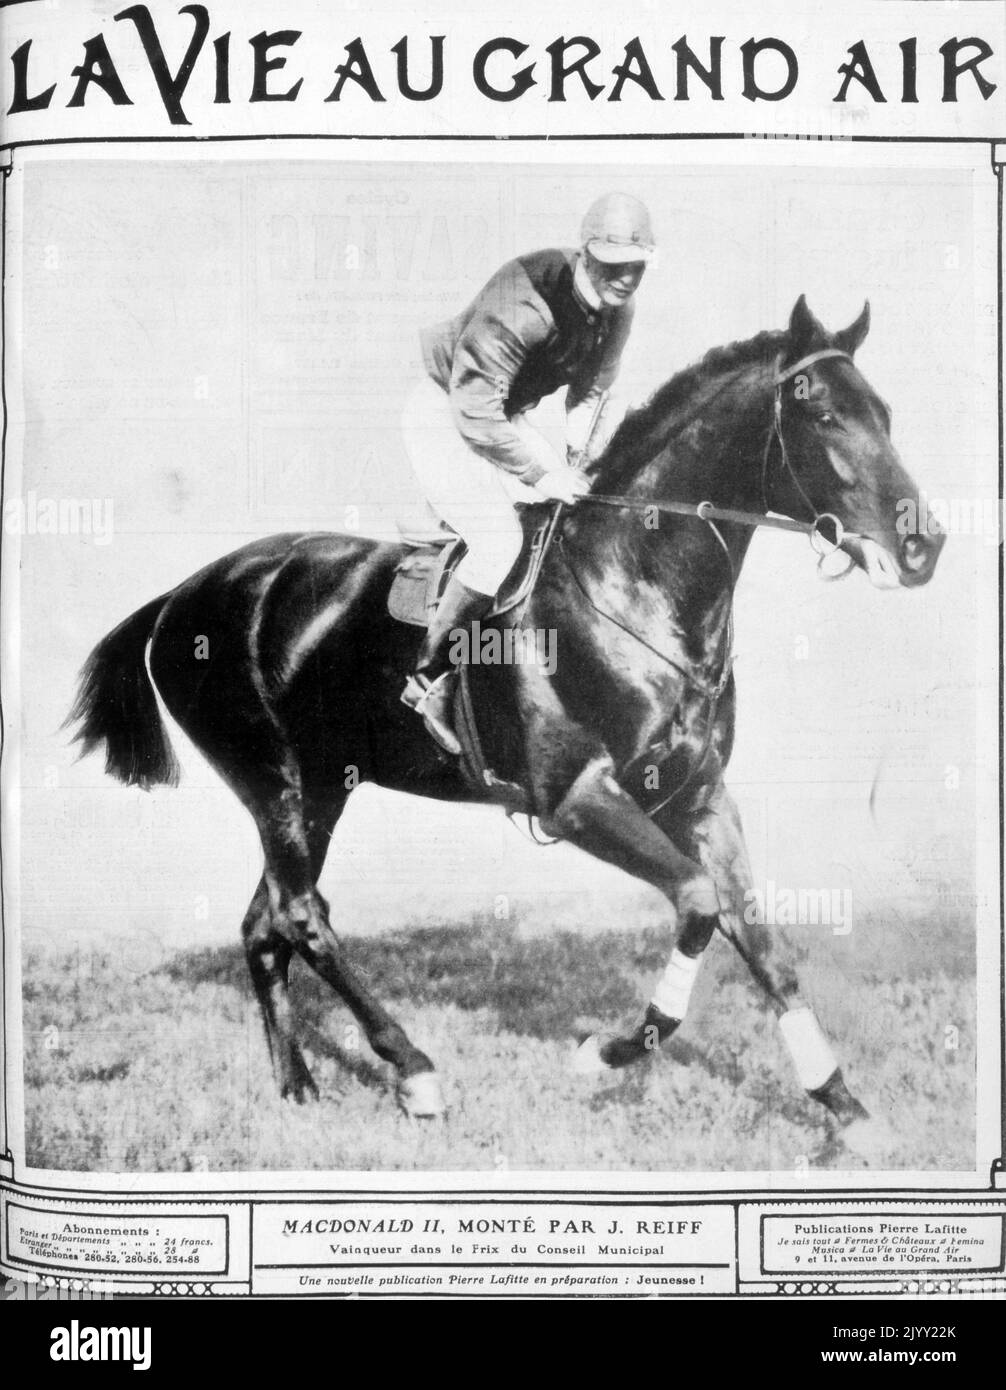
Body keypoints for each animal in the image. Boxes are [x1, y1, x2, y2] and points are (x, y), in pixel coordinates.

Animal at [68, 298, 944, 1156]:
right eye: (824, 414)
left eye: (886, 415)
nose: (923, 543)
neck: (633, 586)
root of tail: (180, 595)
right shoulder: (577, 798)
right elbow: (699, 904)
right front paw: (606, 1052)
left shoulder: (699, 798)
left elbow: (764, 944)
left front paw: (842, 1102)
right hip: (272, 783)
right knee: (302, 916)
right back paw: (414, 1067)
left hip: (319, 789)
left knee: (266, 921)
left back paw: (297, 1084)